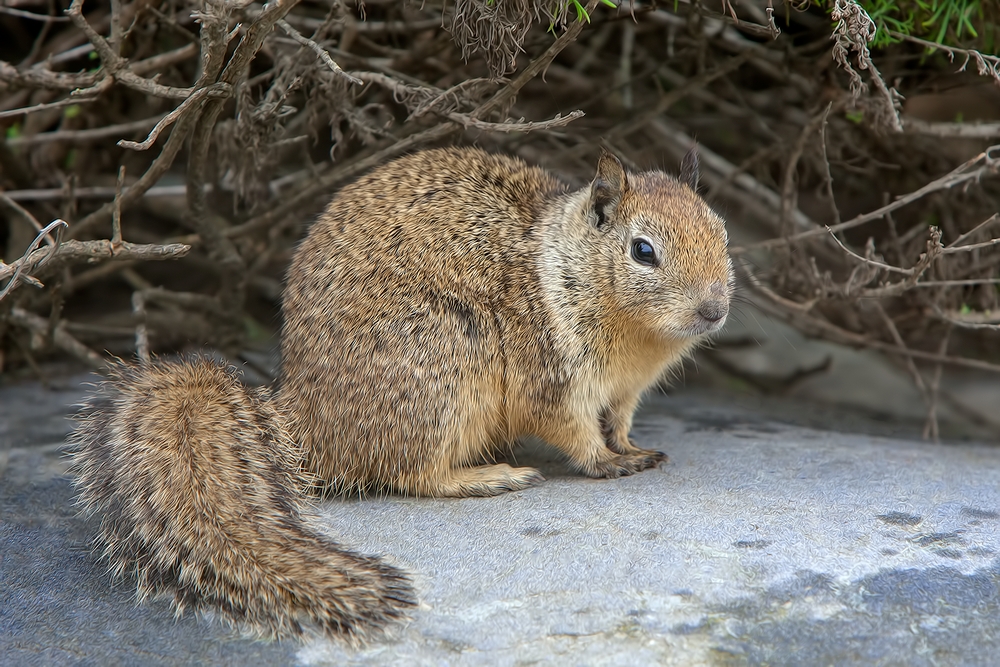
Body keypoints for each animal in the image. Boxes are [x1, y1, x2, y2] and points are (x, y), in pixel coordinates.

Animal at [66, 146, 732, 640]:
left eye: (721, 231)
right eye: (643, 251)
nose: (714, 310)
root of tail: (295, 418)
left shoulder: (625, 393)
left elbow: (618, 424)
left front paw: (633, 451)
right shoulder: (554, 379)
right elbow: (577, 434)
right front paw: (604, 463)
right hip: (443, 379)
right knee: (415, 474)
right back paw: (487, 477)